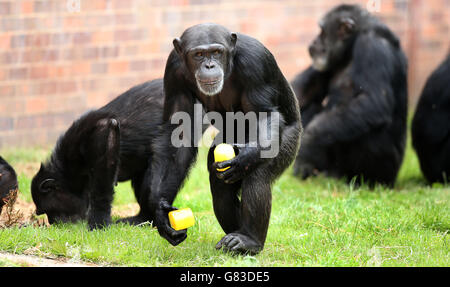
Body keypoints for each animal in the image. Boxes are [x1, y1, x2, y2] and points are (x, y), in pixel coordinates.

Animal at [30, 79, 192, 245]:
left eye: (47, 211)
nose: (53, 221)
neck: (67, 172)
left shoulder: (83, 141)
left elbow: (107, 137)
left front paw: (98, 223)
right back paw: (143, 218)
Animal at [151, 23, 302, 255]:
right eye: (199, 54)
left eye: (216, 52)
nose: (209, 65)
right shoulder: (173, 70)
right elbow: (180, 132)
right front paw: (161, 210)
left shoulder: (256, 61)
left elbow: (265, 114)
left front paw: (247, 157)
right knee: (220, 188)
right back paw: (235, 238)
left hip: (291, 142)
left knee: (258, 175)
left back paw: (249, 240)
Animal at [290, 5, 410, 189]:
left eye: (322, 31)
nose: (314, 42)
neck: (351, 47)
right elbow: (303, 91)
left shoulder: (373, 46)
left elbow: (372, 101)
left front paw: (305, 146)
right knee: (311, 106)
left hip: (385, 172)